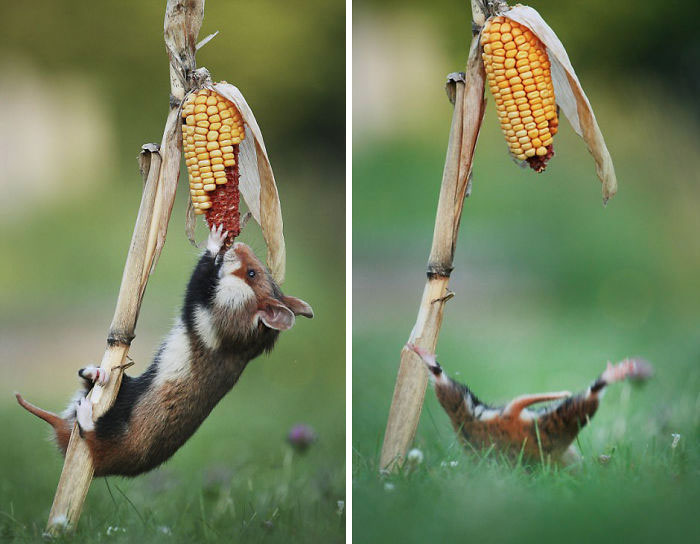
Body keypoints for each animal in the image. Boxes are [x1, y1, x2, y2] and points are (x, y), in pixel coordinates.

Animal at [16, 225, 313, 477]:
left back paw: (88, 412)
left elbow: (200, 278)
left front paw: (216, 240)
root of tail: (61, 431)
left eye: (251, 273)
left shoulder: (204, 309)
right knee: (88, 389)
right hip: (124, 392)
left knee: (90, 432)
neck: (247, 334)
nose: (239, 243)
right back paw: (96, 374)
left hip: (113, 433)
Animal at [406, 343, 652, 465]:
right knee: (593, 394)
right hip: (563, 421)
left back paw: (421, 352)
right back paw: (627, 369)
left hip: (462, 410)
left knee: (445, 386)